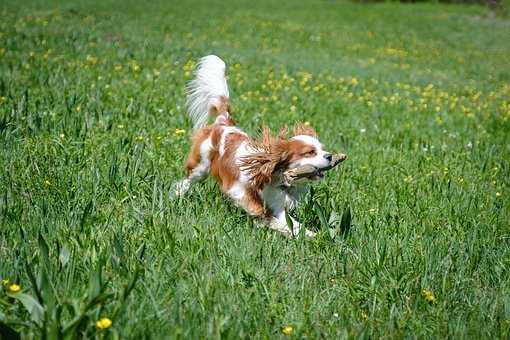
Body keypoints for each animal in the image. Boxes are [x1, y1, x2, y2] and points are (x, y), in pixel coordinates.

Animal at [175, 55, 334, 236]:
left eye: (322, 149)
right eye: (311, 152)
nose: (330, 156)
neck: (274, 175)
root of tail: (223, 122)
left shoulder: (277, 202)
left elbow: (292, 224)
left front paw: (312, 235)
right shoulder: (237, 190)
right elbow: (261, 212)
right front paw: (268, 222)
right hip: (200, 167)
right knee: (187, 181)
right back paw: (178, 195)